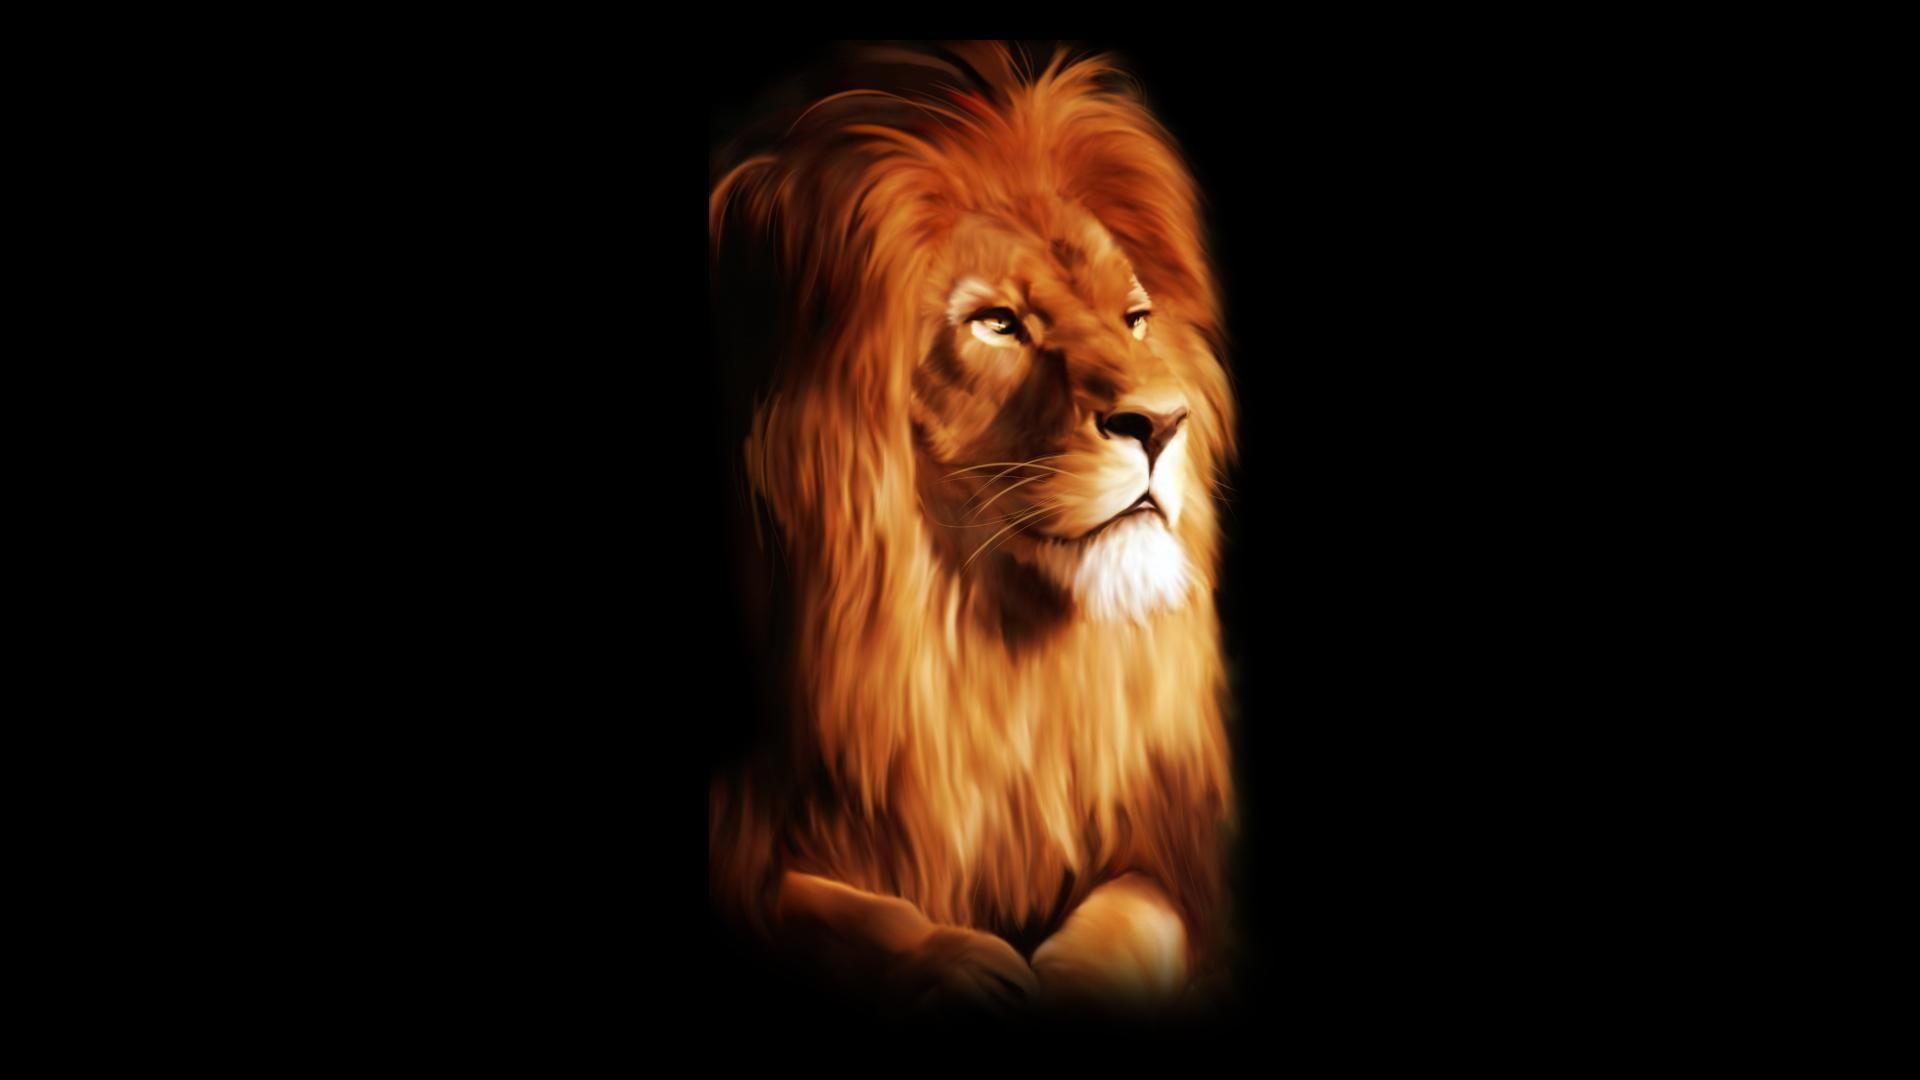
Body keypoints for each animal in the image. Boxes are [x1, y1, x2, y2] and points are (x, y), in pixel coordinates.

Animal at [708, 42, 1238, 1017]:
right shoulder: (752, 831)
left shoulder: (1163, 850)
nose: (1163, 422)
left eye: (1134, 320)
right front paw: (956, 965)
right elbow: (834, 913)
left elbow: (1134, 911)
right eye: (997, 323)